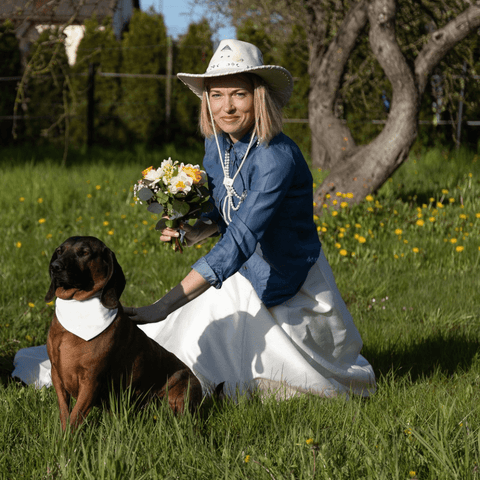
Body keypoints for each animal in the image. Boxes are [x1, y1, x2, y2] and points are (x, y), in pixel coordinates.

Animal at [45, 236, 202, 432]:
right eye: (59, 251)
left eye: (84, 252)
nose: (55, 266)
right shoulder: (57, 375)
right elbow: (65, 413)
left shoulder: (91, 380)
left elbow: (75, 417)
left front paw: (67, 439)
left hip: (180, 394)